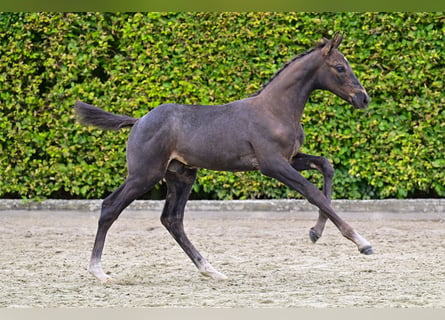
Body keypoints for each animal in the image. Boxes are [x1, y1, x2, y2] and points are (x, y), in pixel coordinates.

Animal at [75, 31, 372, 282]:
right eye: (340, 67)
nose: (364, 99)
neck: (275, 109)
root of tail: (138, 121)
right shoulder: (272, 164)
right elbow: (313, 192)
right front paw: (361, 242)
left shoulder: (289, 158)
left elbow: (325, 166)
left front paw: (316, 232)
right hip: (144, 175)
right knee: (110, 207)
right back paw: (98, 271)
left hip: (181, 175)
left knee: (172, 219)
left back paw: (210, 270)